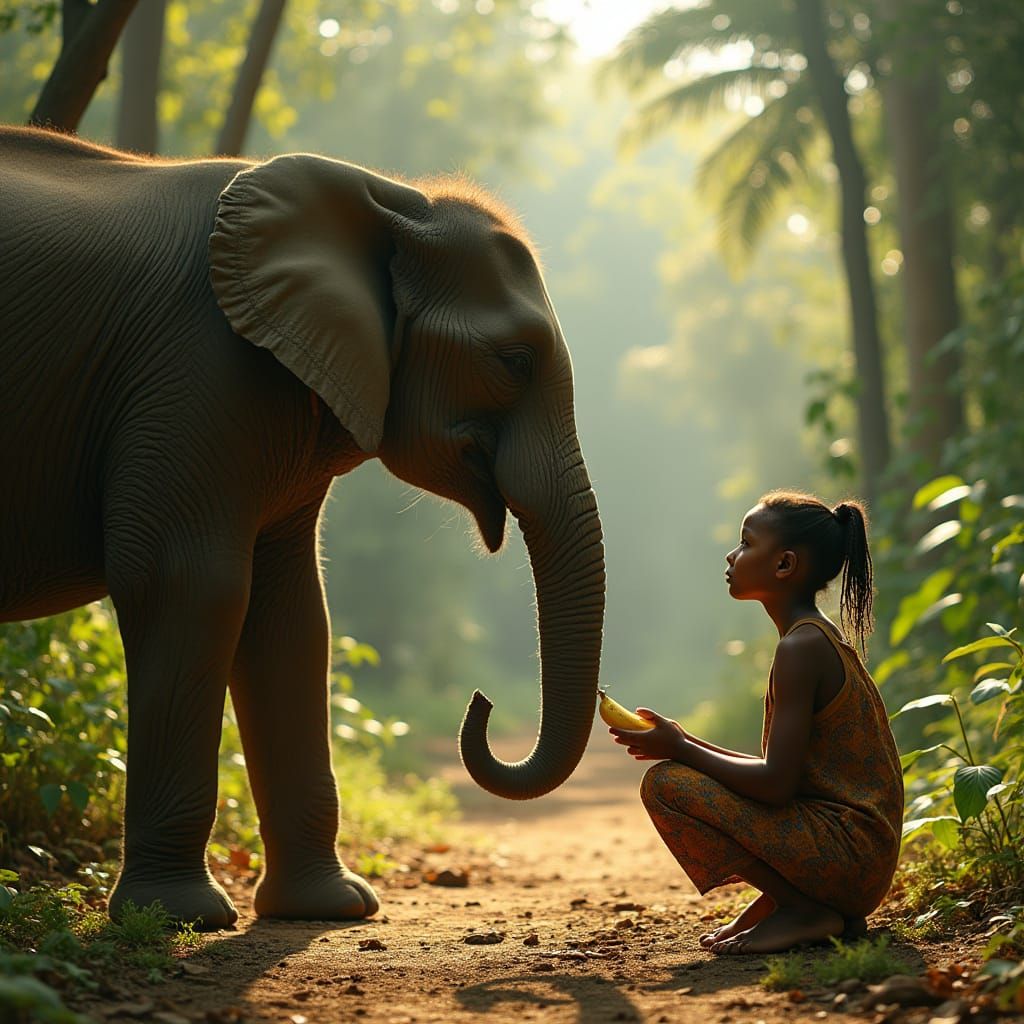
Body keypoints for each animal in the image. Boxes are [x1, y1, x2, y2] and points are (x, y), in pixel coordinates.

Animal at [0, 125, 606, 928]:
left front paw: (331, 908)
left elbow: (289, 611)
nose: (481, 700)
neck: (390, 196)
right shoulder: (197, 369)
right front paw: (182, 918)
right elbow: (188, 582)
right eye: (514, 361)